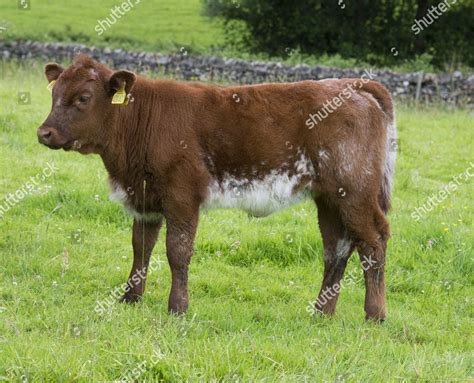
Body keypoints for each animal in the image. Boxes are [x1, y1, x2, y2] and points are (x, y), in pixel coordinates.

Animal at [38, 55, 396, 322]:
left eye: (83, 98)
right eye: (54, 95)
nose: (44, 133)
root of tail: (353, 85)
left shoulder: (182, 194)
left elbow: (177, 250)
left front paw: (178, 307)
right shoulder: (145, 197)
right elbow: (141, 246)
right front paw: (131, 298)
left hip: (355, 191)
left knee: (373, 240)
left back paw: (375, 314)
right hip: (329, 198)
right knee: (337, 247)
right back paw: (322, 312)